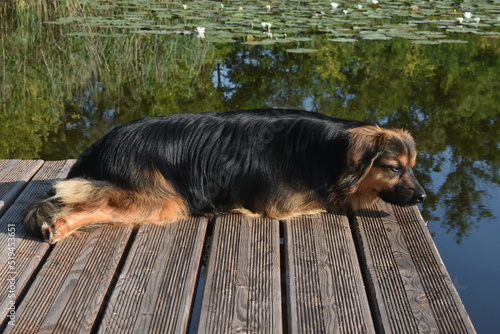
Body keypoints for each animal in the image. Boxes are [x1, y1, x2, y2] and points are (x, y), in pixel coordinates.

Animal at [23, 109, 426, 243]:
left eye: (413, 166)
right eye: (394, 168)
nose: (422, 197)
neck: (330, 151)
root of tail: (102, 143)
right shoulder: (282, 205)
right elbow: (329, 200)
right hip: (162, 200)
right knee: (89, 205)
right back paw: (58, 226)